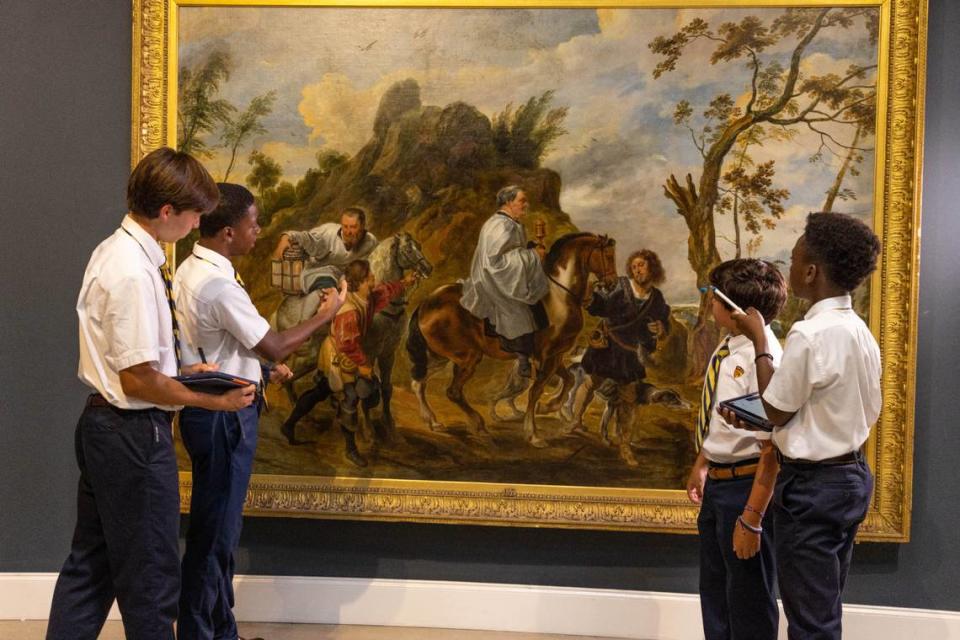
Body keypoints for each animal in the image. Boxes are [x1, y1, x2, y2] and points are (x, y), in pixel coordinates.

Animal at [404, 232, 616, 448]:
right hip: (467, 357)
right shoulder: (546, 356)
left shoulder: (556, 356)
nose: (612, 283)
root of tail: (426, 304)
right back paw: (479, 426)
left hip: (440, 356)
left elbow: (568, 380)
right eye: (608, 256)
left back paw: (433, 422)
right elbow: (535, 391)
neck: (560, 297)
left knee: (419, 383)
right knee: (453, 392)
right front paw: (533, 433)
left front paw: (548, 407)